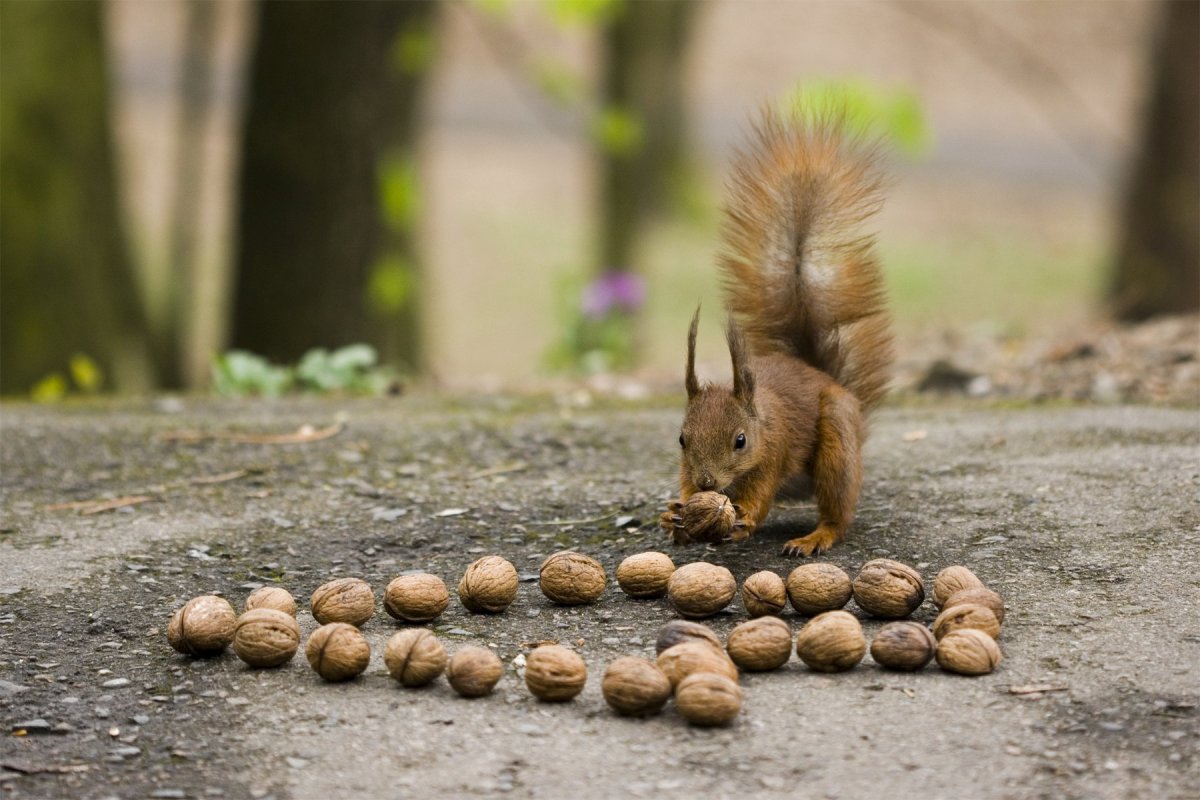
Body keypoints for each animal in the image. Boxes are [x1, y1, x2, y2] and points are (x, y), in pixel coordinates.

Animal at [660, 108, 894, 557]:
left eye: (740, 441)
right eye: (680, 439)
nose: (707, 482)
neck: (761, 419)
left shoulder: (775, 451)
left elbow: (761, 495)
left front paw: (744, 520)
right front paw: (673, 515)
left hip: (836, 443)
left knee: (837, 510)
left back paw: (814, 537)